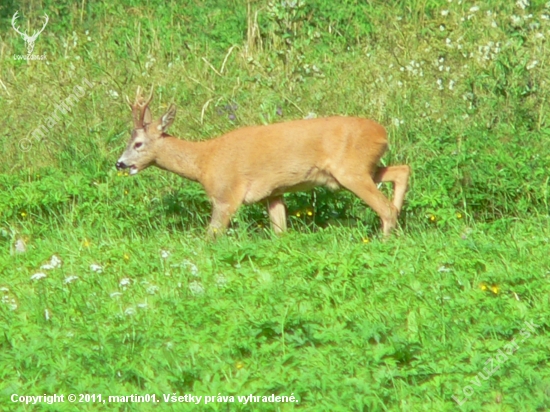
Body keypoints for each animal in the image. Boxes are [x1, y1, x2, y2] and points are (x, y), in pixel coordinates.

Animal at [115, 89, 410, 238]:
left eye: (137, 143)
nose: (120, 163)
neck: (203, 161)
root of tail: (383, 133)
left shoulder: (226, 194)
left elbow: (210, 237)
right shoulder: (273, 193)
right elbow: (279, 232)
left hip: (351, 170)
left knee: (385, 208)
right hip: (363, 168)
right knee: (401, 170)